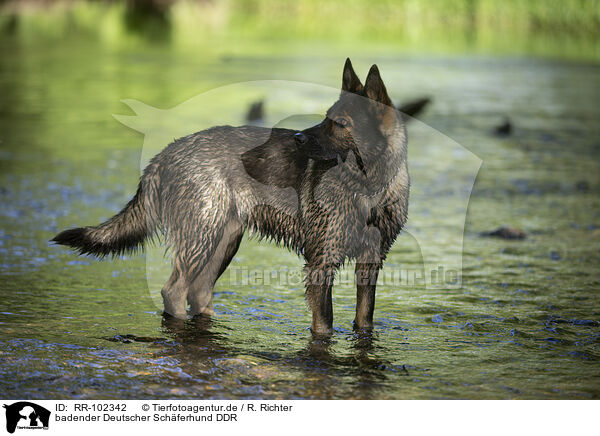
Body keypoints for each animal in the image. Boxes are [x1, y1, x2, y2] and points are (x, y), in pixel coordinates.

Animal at [52, 58, 408, 336]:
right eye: (326, 118)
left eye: (342, 123)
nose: (297, 138)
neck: (369, 189)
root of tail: (164, 155)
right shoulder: (322, 261)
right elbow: (325, 325)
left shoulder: (370, 263)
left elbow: (364, 319)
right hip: (203, 237)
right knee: (174, 291)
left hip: (223, 241)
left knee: (199, 292)